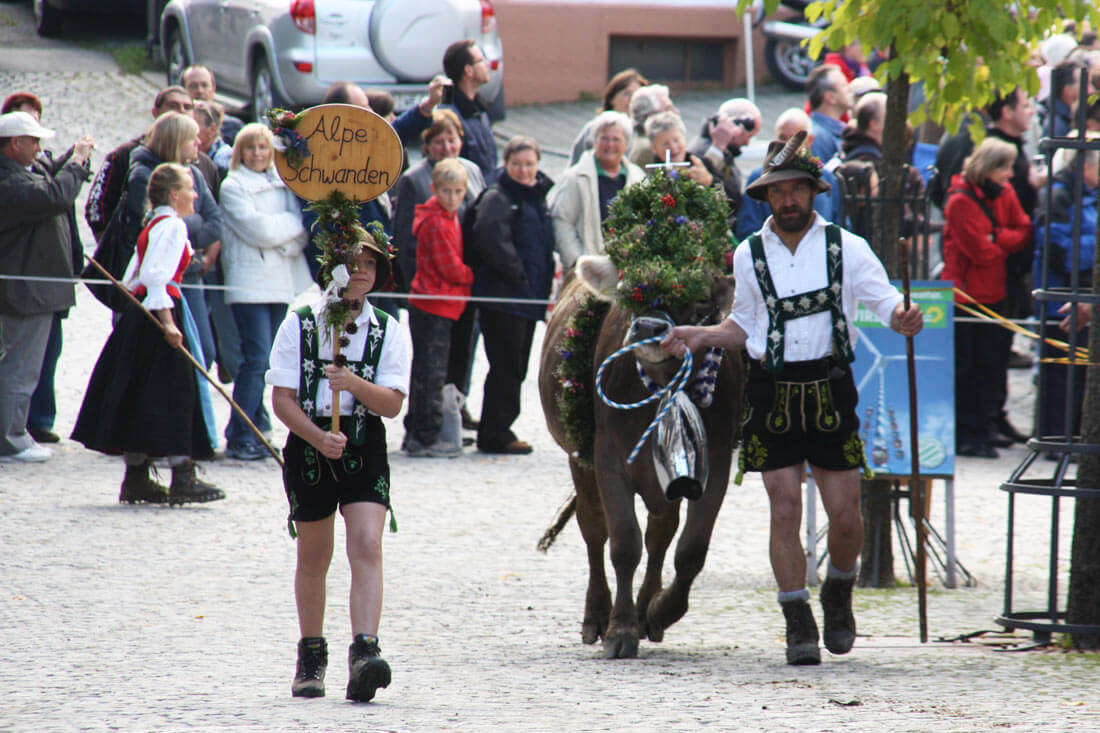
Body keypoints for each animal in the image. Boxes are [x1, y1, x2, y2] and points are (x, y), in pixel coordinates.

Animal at [539, 171, 743, 655]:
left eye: (700, 297)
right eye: (631, 287)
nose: (650, 327)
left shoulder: (716, 464)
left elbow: (690, 548)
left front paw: (660, 611)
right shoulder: (608, 458)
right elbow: (623, 544)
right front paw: (620, 629)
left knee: (662, 532)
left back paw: (650, 606)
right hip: (579, 458)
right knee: (595, 531)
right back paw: (596, 615)